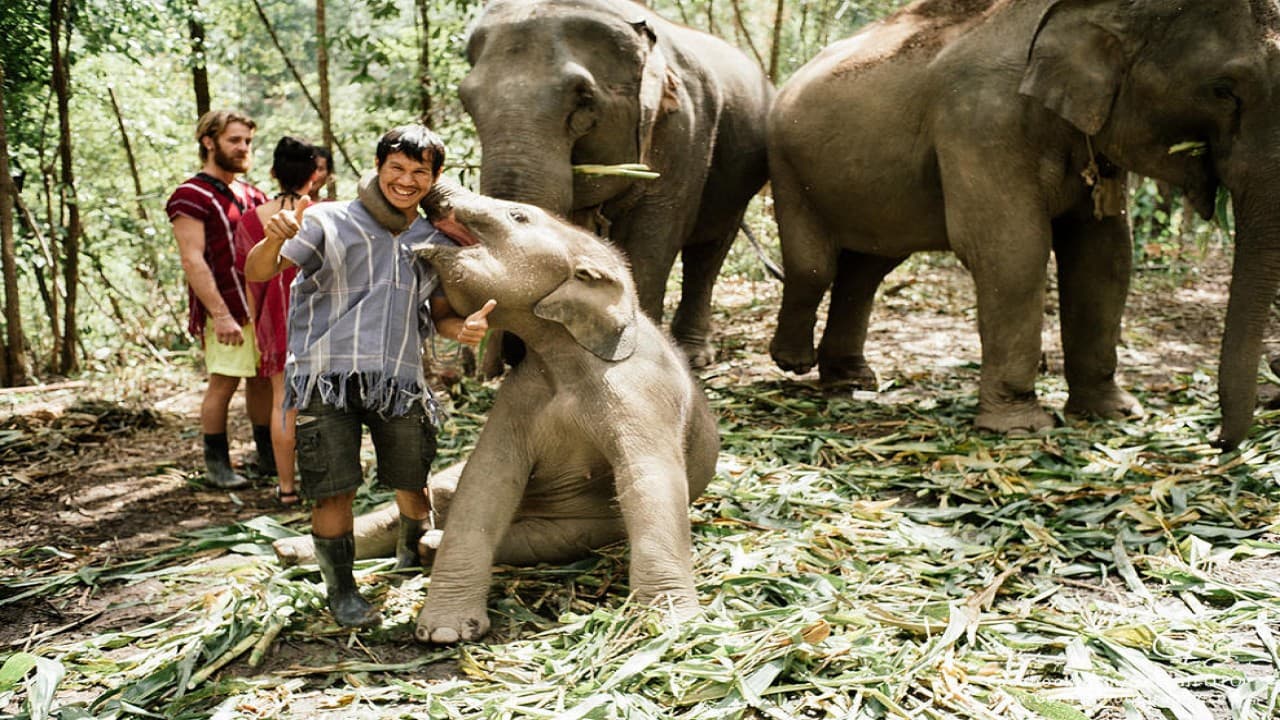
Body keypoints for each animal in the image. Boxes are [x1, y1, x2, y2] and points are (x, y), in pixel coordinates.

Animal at [396, 182, 719, 644]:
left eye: (518, 215)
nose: (432, 189)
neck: (563, 351)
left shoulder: (644, 393)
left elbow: (649, 479)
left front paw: (673, 626)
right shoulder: (520, 394)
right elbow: (486, 479)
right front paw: (445, 634)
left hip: (583, 527)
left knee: (544, 540)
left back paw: (429, 546)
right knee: (437, 492)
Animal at [458, 0, 773, 368]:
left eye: (584, 98)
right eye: (465, 100)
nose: (507, 357)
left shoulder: (685, 132)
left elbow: (650, 243)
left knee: (709, 250)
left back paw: (695, 356)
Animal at [767, 0, 1280, 448]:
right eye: (1223, 89)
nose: (1216, 440)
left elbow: (1105, 256)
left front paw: (1114, 413)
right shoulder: (979, 122)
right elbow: (1012, 251)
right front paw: (1021, 428)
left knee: (868, 268)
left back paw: (852, 380)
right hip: (786, 165)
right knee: (815, 266)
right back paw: (794, 362)